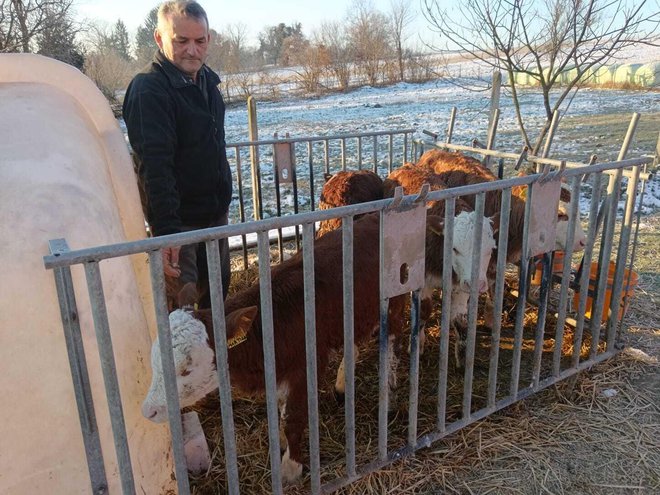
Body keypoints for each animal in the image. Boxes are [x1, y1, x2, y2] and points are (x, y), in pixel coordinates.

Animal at [142, 214, 404, 484]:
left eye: (187, 370)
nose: (148, 411)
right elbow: (280, 407)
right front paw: (281, 442)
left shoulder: (305, 365)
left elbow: (293, 416)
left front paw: (291, 467)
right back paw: (343, 386)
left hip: (394, 299)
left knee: (392, 342)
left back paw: (389, 395)